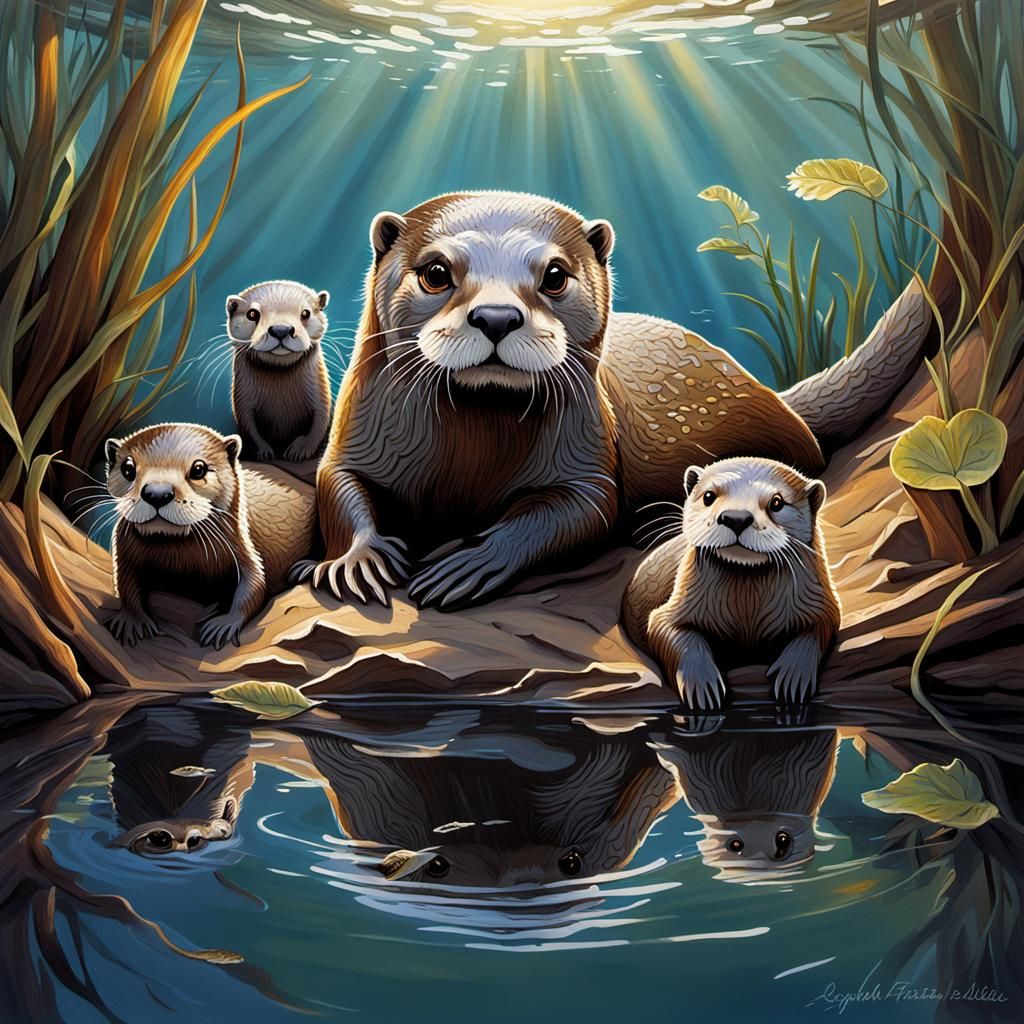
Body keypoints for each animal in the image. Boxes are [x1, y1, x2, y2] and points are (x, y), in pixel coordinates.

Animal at [103, 422, 315, 649]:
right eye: (128, 468)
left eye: (198, 469)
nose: (157, 493)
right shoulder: (124, 547)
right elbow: (125, 584)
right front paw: (131, 621)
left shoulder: (241, 545)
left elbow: (255, 584)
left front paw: (223, 624)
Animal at [227, 280, 332, 462]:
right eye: (252, 314)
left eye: (305, 313)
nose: (280, 330)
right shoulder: (242, 396)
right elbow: (247, 424)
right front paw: (264, 451)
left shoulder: (320, 389)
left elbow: (320, 420)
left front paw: (300, 449)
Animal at [300, 192, 923, 609]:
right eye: (435, 272)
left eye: (554, 275)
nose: (497, 316)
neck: (467, 465)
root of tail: (776, 398)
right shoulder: (354, 433)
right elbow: (336, 486)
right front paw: (358, 558)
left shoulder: (588, 461)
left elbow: (572, 514)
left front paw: (472, 561)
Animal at [623, 457, 840, 709]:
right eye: (709, 496)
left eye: (776, 502)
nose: (736, 517)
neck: (747, 614)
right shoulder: (672, 609)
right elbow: (673, 632)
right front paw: (702, 683)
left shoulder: (820, 602)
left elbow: (819, 627)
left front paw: (794, 674)